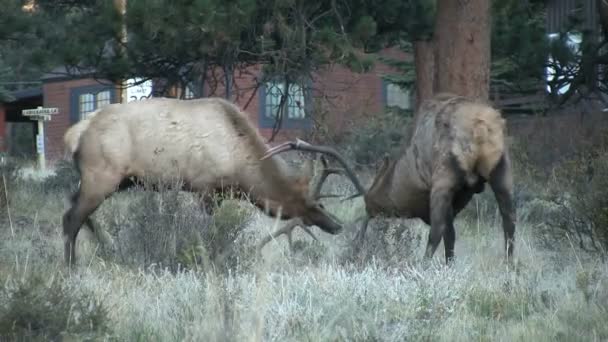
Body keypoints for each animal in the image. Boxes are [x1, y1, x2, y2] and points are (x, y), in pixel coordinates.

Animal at [62, 96, 364, 268]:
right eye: (312, 205)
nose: (337, 225)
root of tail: (75, 134)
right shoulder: (204, 187)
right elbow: (213, 230)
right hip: (101, 176)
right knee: (71, 218)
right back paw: (71, 266)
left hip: (115, 181)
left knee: (77, 212)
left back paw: (106, 249)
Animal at [264, 93, 516, 264]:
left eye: (375, 206)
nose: (345, 231)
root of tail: (482, 126)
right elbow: (451, 236)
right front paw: (450, 266)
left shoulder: (438, 186)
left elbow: (446, 233)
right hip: (502, 167)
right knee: (509, 222)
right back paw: (510, 266)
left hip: (445, 176)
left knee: (437, 231)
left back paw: (422, 267)